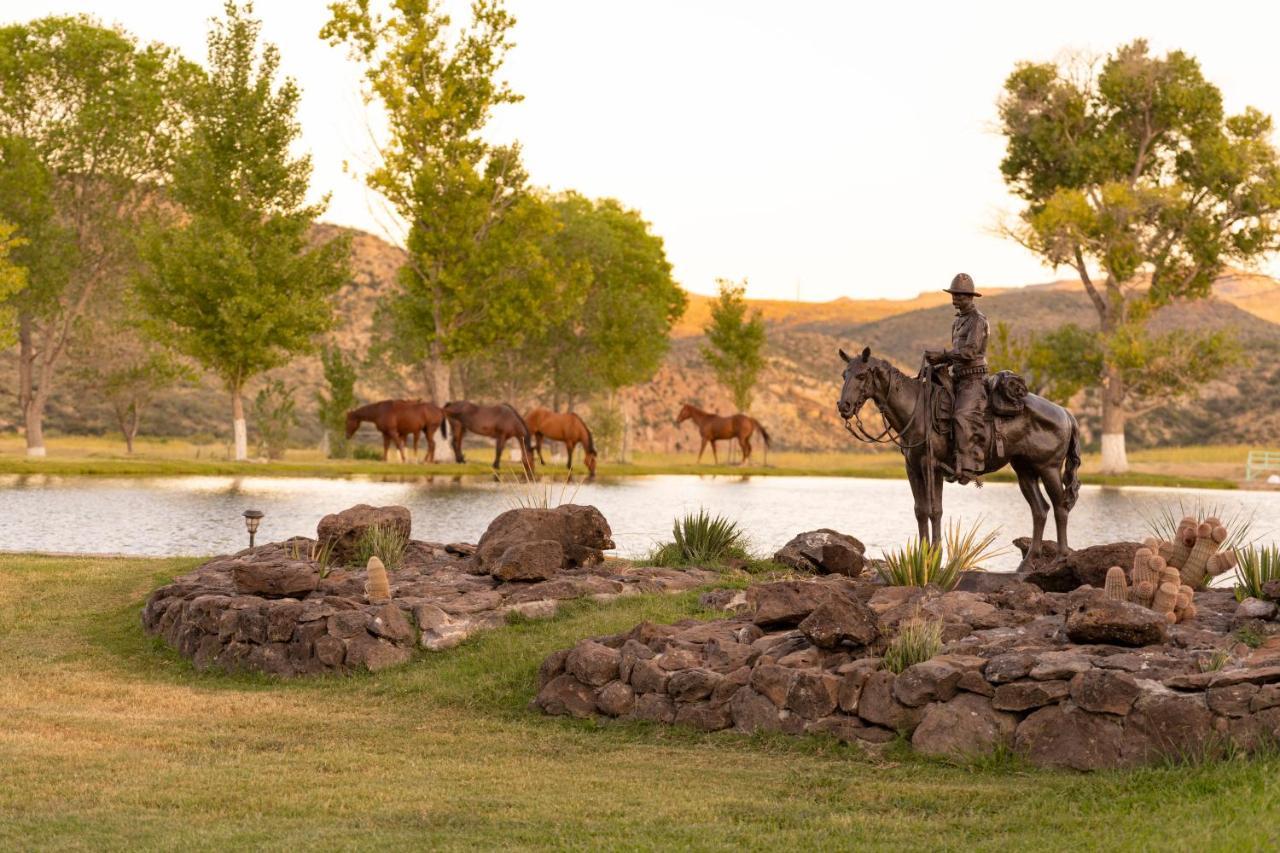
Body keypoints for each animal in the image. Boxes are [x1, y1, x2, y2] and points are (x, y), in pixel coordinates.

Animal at [829, 345, 1080, 563]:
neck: (917, 411)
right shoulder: (912, 468)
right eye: (844, 374)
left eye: (862, 375)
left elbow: (935, 510)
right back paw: (1027, 563)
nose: (844, 406)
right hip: (1025, 470)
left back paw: (1061, 556)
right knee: (1040, 510)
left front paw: (934, 557)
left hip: (1048, 469)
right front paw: (921, 557)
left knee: (1060, 507)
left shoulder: (932, 466)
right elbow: (920, 511)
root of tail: (1065, 413)